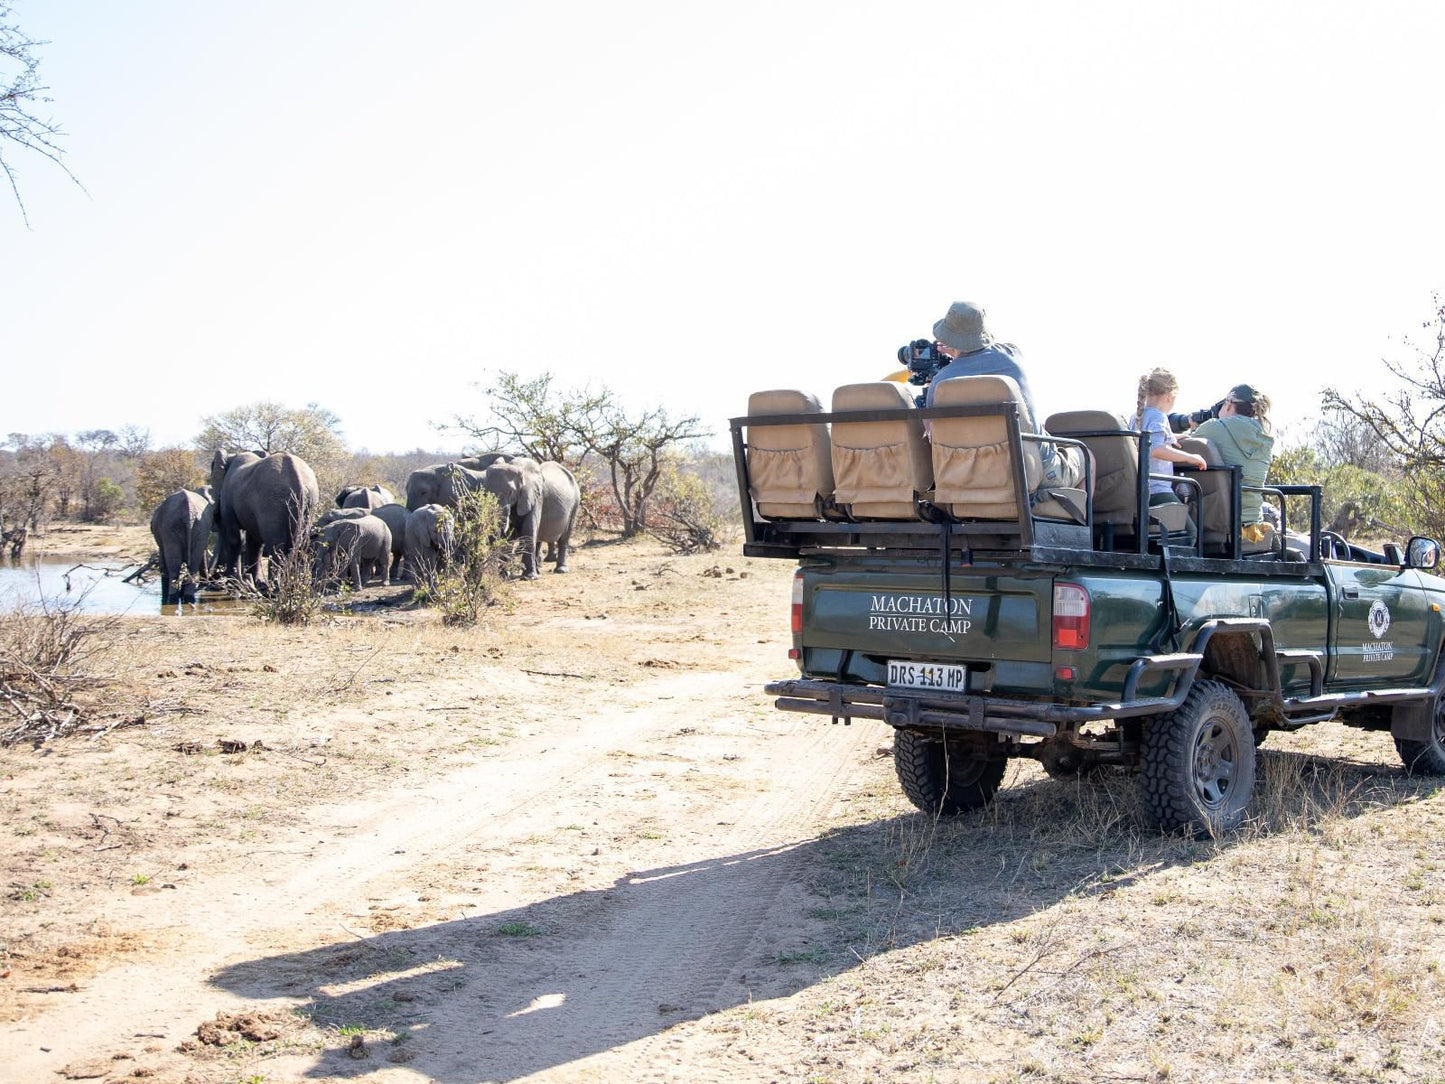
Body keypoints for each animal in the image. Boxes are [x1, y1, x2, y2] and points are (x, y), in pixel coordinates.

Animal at [209, 450, 319, 586]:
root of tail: (299, 480)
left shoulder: (227, 498)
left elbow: (234, 538)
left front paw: (232, 581)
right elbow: (254, 541)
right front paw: (253, 580)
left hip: (272, 504)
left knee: (276, 546)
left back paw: (274, 586)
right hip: (310, 503)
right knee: (298, 545)